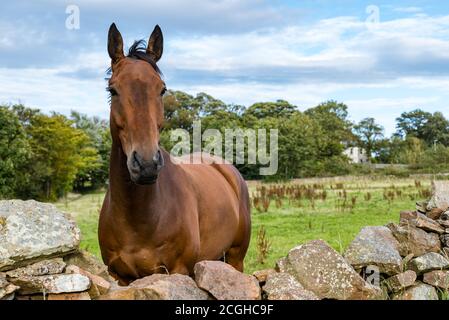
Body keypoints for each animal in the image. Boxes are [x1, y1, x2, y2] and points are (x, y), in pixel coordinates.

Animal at [98, 24, 250, 284]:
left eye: (162, 89)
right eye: (113, 89)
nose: (146, 164)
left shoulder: (178, 270)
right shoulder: (120, 276)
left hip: (235, 258)